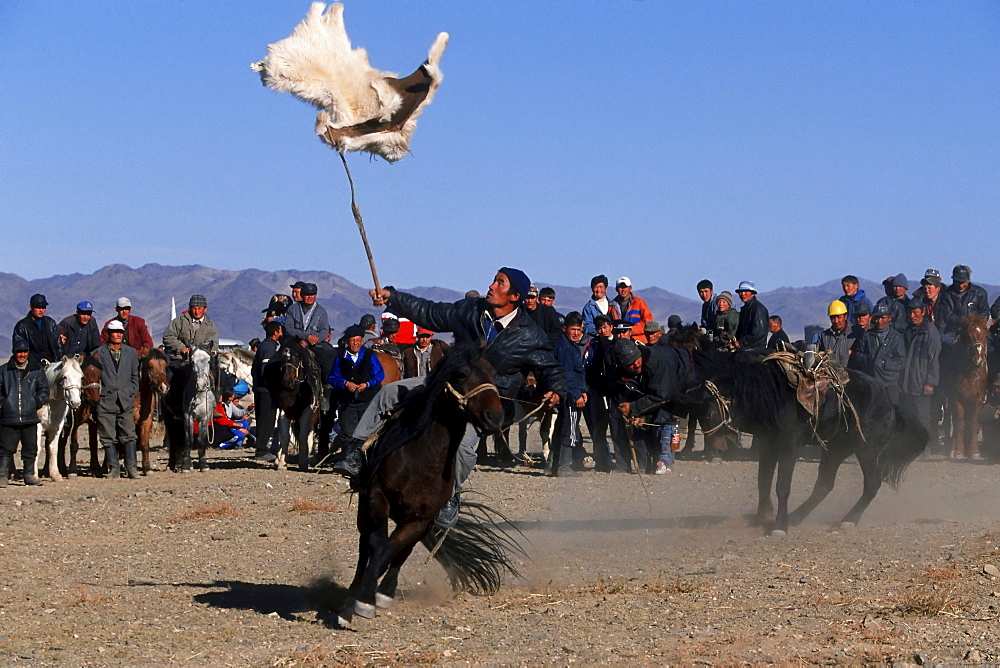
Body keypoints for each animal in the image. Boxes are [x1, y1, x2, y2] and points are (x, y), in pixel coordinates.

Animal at [344, 344, 520, 620]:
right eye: (461, 374)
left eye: (493, 373)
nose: (494, 416)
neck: (423, 460)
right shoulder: (376, 498)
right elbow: (378, 545)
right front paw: (360, 597)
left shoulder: (421, 519)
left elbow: (392, 549)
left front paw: (370, 597)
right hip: (367, 505)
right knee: (367, 543)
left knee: (400, 551)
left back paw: (384, 591)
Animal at [684, 352, 924, 536]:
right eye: (701, 416)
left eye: (709, 413)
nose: (717, 449)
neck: (769, 395)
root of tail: (891, 405)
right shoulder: (769, 443)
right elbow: (763, 482)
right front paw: (762, 518)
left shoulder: (789, 443)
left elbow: (782, 485)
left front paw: (779, 526)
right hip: (835, 449)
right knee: (825, 484)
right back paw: (797, 517)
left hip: (866, 449)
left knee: (872, 483)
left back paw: (848, 520)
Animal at [940, 314, 988, 460]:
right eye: (968, 336)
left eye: (985, 334)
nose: (978, 360)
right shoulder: (957, 399)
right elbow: (960, 423)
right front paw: (959, 452)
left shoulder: (978, 401)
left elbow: (973, 423)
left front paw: (974, 451)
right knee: (955, 421)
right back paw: (952, 449)